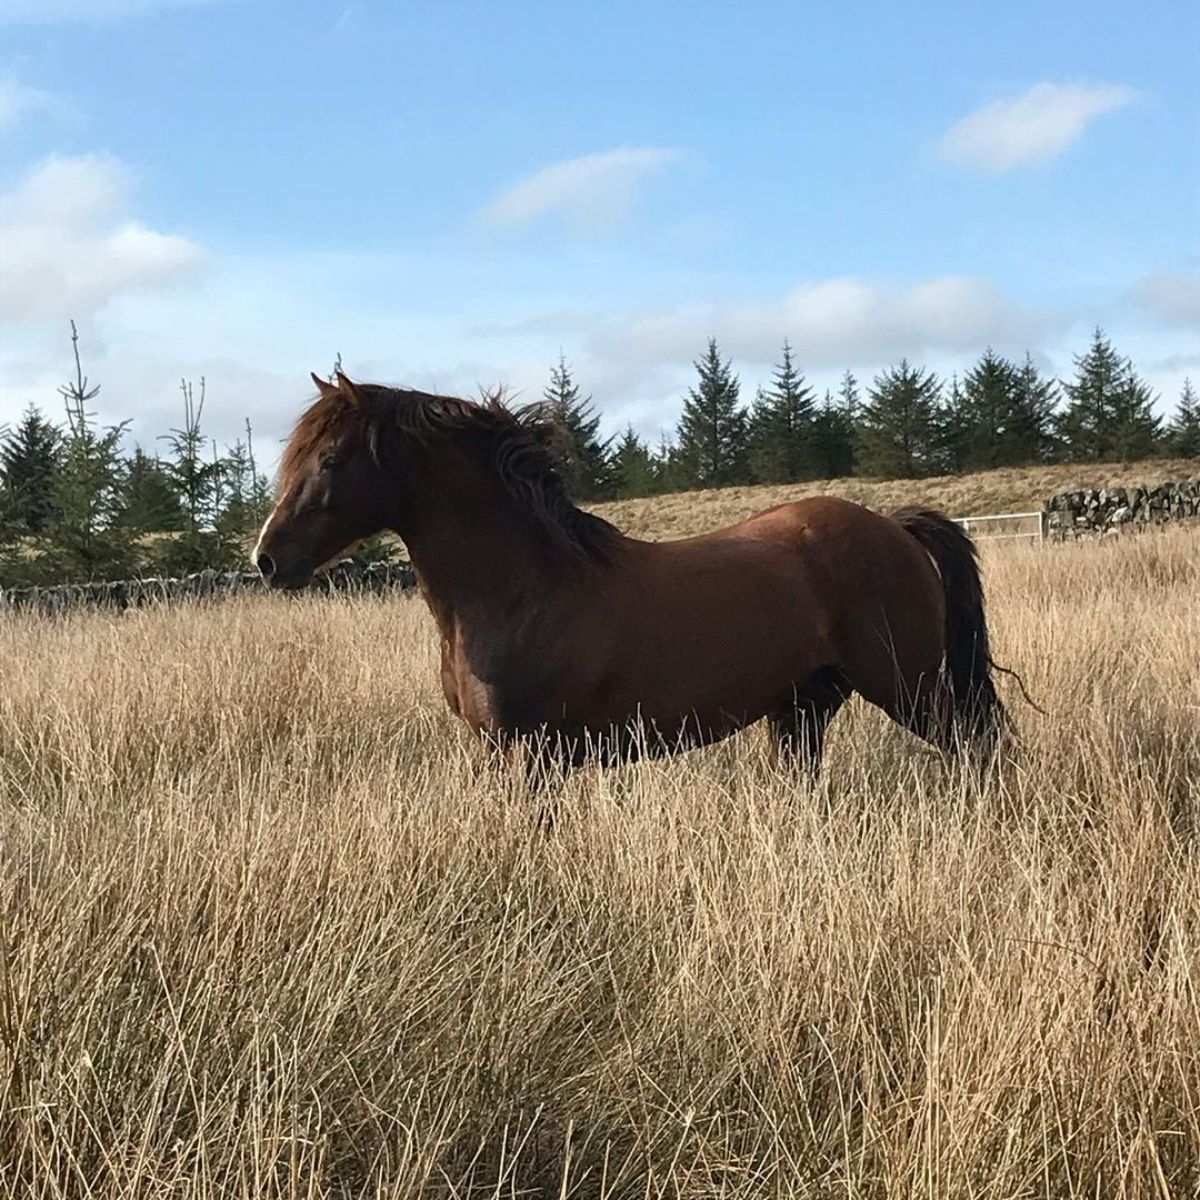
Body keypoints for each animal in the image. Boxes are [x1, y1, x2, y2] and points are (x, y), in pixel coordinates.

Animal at [258, 369, 1008, 772]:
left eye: (330, 461)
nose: (267, 560)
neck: (522, 589)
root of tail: (895, 527)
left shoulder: (537, 756)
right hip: (803, 707)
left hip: (910, 690)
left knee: (974, 754)